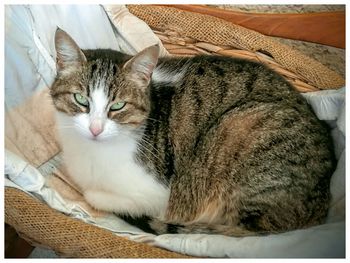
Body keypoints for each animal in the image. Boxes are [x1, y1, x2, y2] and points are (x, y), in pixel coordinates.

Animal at [50, 27, 334, 236]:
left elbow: (97, 196)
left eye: (118, 106)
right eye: (80, 99)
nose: (95, 129)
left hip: (238, 125)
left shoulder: (157, 194)